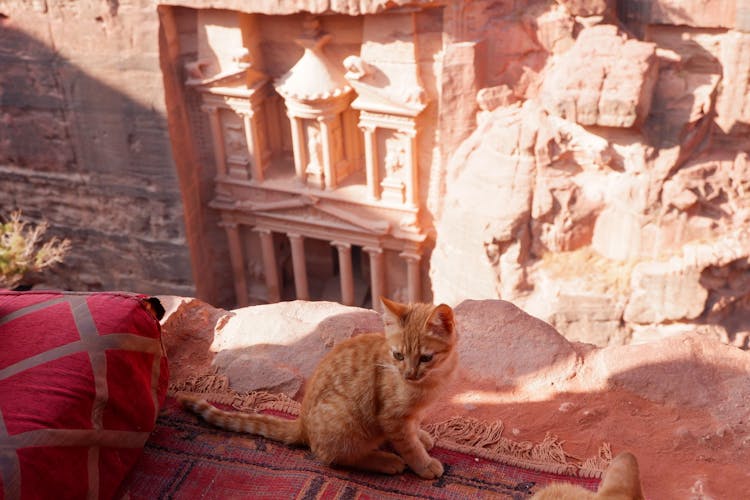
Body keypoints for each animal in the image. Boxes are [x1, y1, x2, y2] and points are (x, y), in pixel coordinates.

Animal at [179, 296, 458, 480]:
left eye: (425, 358)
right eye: (398, 355)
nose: (408, 374)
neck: (430, 382)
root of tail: (302, 425)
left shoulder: (411, 415)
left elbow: (414, 430)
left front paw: (421, 437)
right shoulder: (391, 417)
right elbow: (408, 445)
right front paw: (423, 464)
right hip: (346, 419)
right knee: (333, 457)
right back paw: (384, 460)